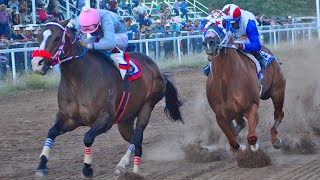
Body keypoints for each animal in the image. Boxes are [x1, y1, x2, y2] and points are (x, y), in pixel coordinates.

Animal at [31, 20, 184, 179]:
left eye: (56, 38)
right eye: (38, 37)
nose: (37, 63)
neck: (78, 79)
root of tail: (157, 69)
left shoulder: (106, 118)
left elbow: (87, 138)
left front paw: (87, 168)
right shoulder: (69, 118)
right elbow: (52, 131)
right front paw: (42, 165)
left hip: (148, 105)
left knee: (137, 135)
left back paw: (127, 167)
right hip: (125, 119)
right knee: (136, 140)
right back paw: (130, 165)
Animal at [202, 17, 284, 150]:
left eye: (223, 23)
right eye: (205, 23)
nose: (209, 42)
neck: (226, 81)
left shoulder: (252, 106)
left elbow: (251, 137)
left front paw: (254, 147)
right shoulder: (220, 116)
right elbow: (233, 142)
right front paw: (239, 147)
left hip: (278, 90)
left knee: (279, 114)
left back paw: (275, 140)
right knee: (241, 124)